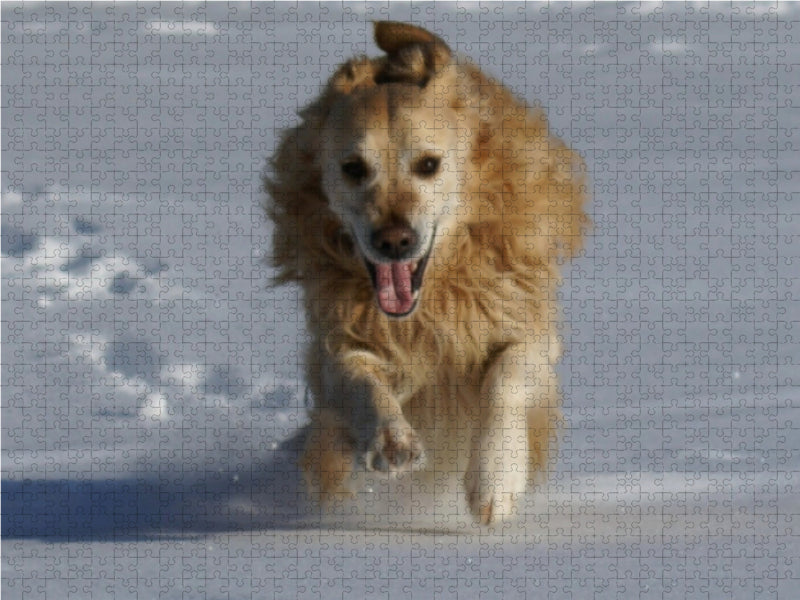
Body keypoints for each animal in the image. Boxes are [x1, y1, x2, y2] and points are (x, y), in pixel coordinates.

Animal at [266, 21, 584, 524]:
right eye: (353, 168)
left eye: (429, 165)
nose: (393, 241)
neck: (432, 300)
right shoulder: (334, 343)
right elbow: (361, 380)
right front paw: (391, 439)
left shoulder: (528, 324)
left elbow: (508, 375)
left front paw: (494, 480)